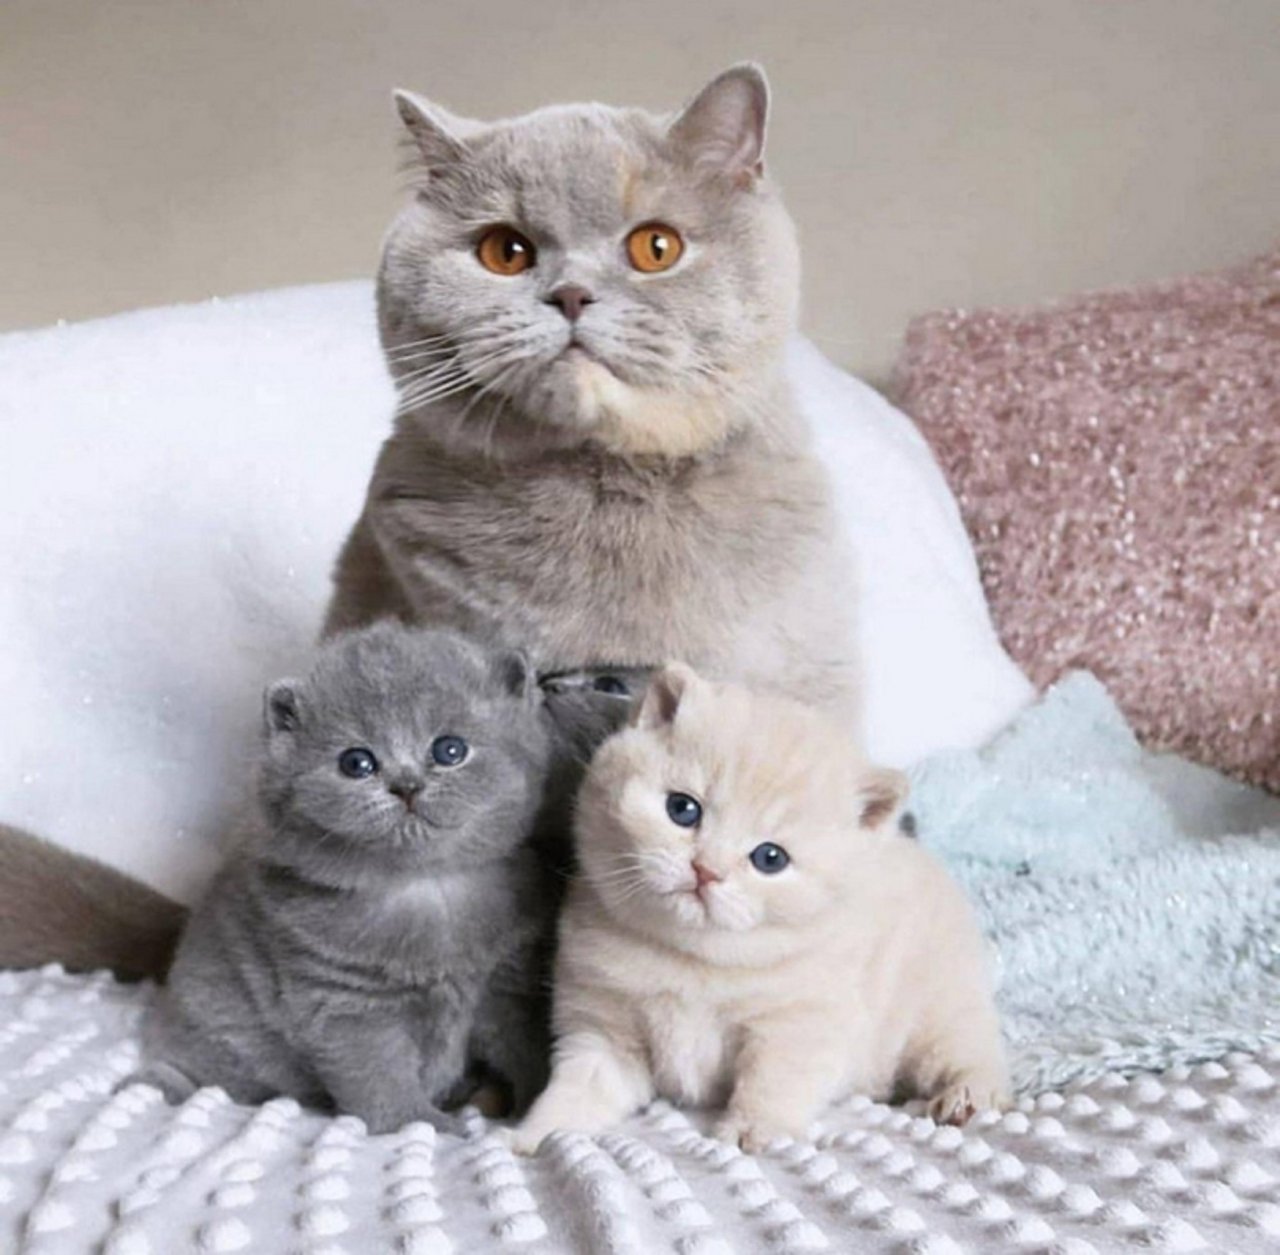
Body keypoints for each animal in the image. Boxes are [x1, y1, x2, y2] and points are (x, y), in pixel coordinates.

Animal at [139, 623, 630, 1133]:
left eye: (449, 750)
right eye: (356, 763)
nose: (406, 786)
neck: (430, 889)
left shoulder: (506, 985)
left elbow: (527, 1048)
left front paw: (530, 1106)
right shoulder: (346, 1003)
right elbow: (380, 1079)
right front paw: (423, 1122)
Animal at [509, 664, 1008, 1154]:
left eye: (770, 858)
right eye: (682, 809)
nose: (706, 870)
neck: (689, 958)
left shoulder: (798, 1025)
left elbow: (772, 1081)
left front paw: (754, 1130)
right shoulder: (603, 1032)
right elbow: (578, 1087)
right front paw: (537, 1135)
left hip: (939, 1011)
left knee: (974, 1053)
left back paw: (965, 1097)